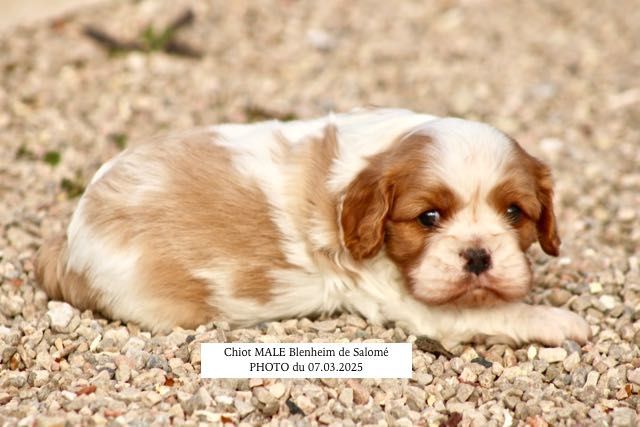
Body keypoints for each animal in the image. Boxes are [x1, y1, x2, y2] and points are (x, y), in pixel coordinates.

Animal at [37, 108, 592, 350]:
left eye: (514, 213)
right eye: (428, 218)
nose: (478, 256)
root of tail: (67, 241)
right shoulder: (414, 304)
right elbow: (501, 312)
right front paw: (561, 321)